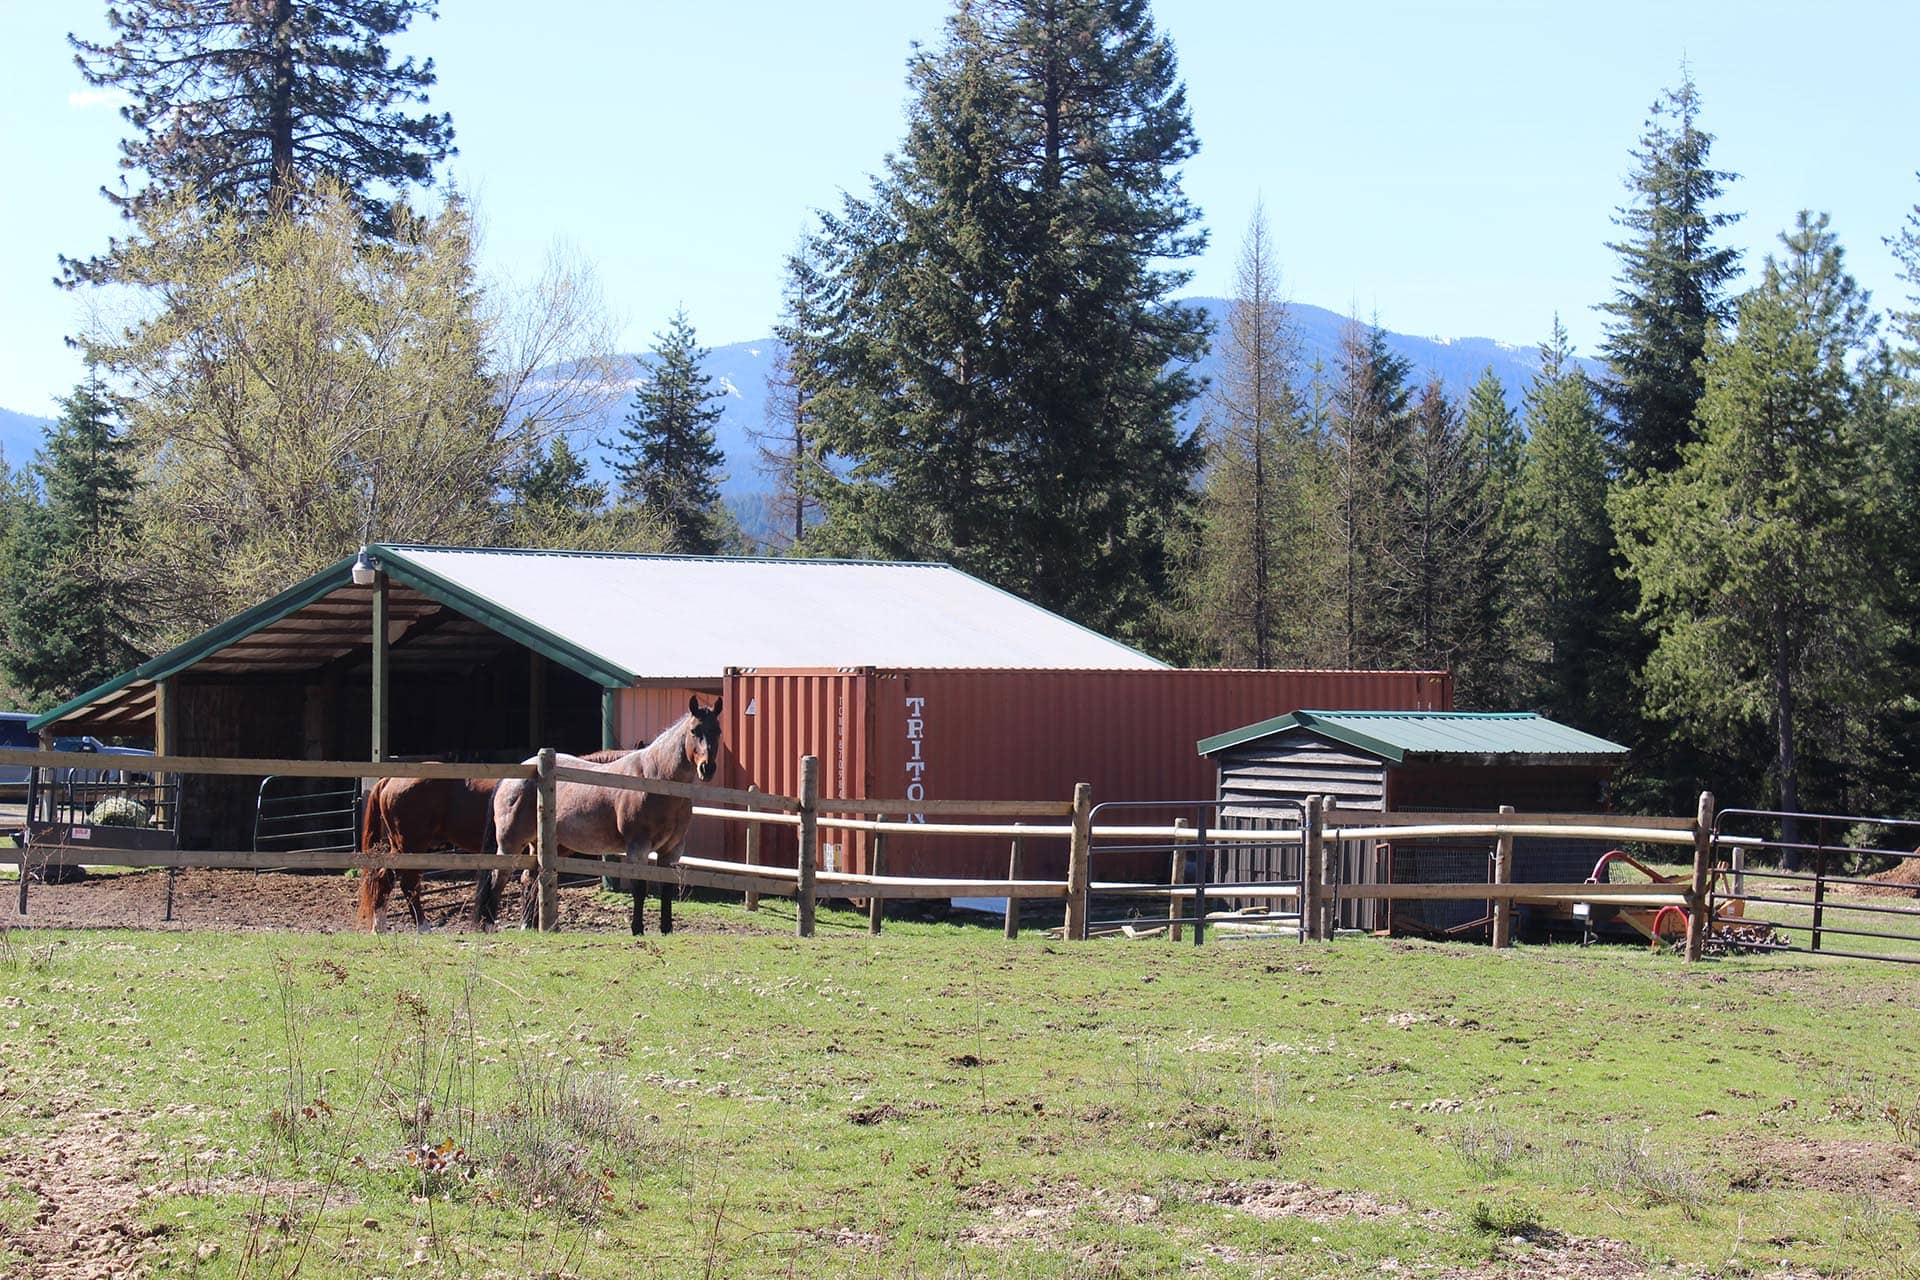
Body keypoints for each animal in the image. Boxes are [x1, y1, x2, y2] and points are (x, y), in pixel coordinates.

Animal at [357, 748, 635, 931]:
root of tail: (390, 779)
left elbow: (530, 881)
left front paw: (530, 923)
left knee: (384, 877)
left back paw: (380, 925)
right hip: (411, 845)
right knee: (406, 882)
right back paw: (421, 925)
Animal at [482, 696, 722, 935]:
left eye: (718, 731)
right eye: (694, 730)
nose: (707, 768)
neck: (654, 779)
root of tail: (515, 775)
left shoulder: (671, 851)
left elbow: (667, 888)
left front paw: (666, 929)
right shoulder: (638, 848)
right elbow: (639, 888)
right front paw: (637, 929)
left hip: (539, 845)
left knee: (529, 879)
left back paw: (529, 925)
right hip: (510, 843)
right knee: (498, 877)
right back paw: (489, 923)